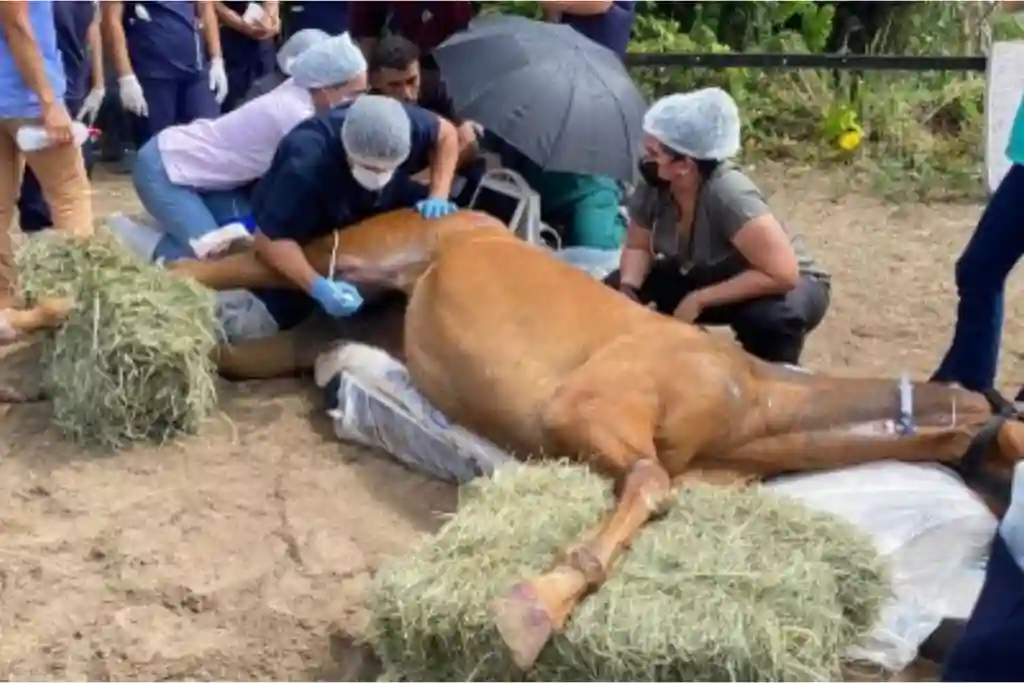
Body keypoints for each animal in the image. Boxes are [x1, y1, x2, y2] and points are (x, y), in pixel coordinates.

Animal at [4, 209, 1019, 671]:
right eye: (1016, 451)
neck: (745, 396)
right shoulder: (588, 414)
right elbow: (646, 487)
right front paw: (529, 607)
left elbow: (661, 493)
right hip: (361, 251)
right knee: (211, 260)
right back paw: (32, 310)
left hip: (329, 324)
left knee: (215, 331)